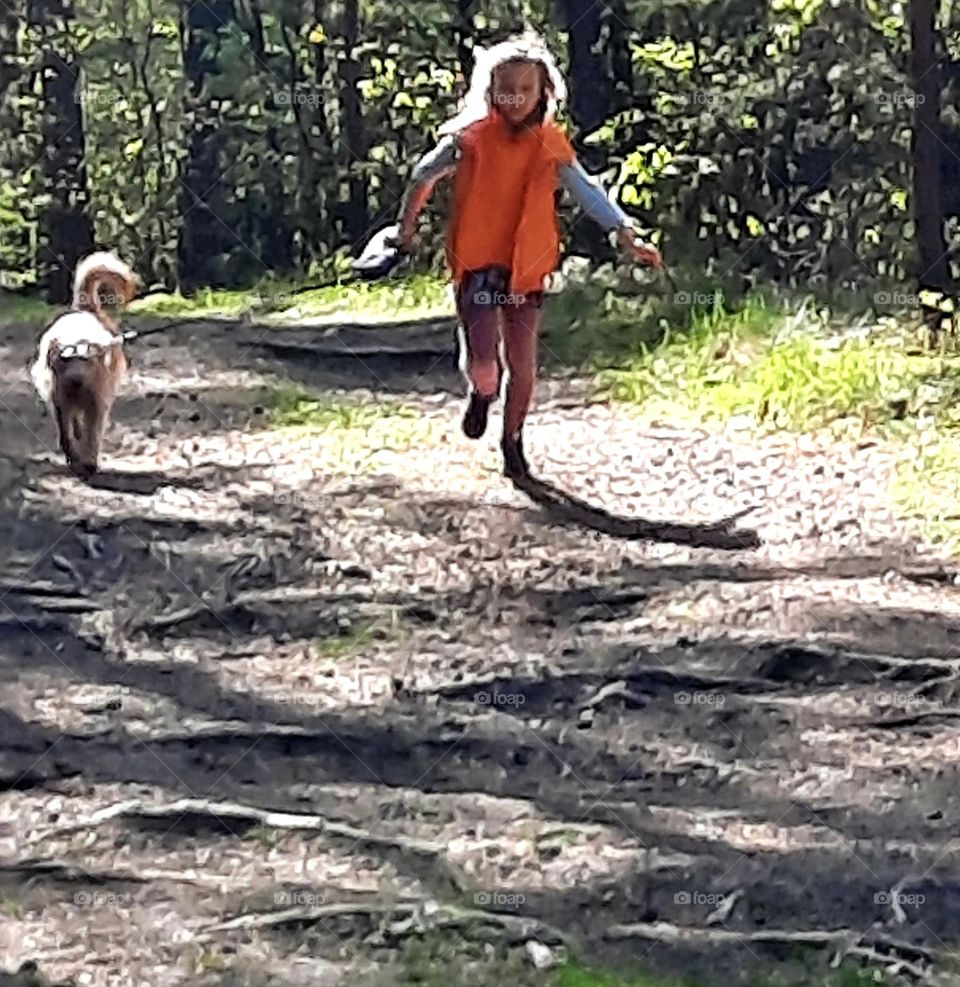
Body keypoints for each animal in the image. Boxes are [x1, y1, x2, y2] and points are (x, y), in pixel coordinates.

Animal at [29, 249, 138, 476]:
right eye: (65, 360)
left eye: (86, 360)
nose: (76, 380)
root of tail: (85, 310)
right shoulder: (60, 403)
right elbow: (66, 435)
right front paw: (74, 456)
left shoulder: (97, 403)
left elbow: (93, 433)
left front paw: (88, 460)